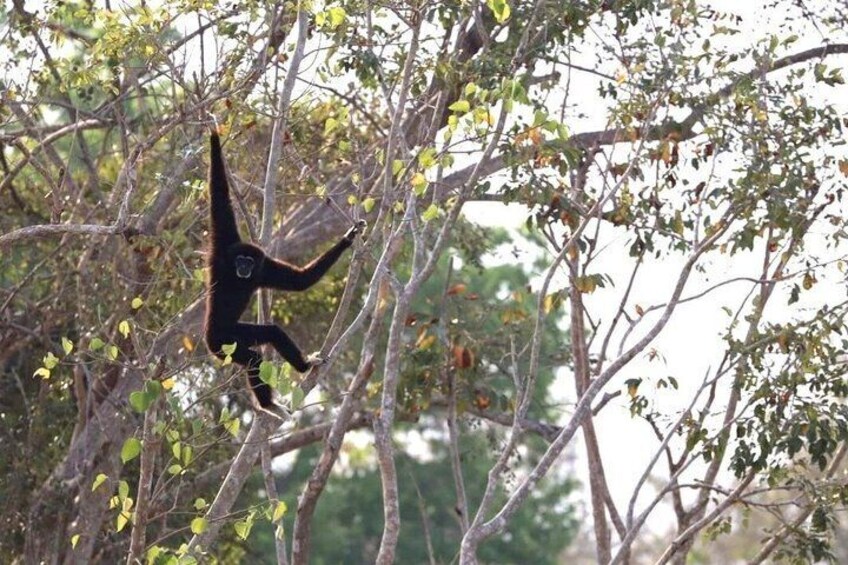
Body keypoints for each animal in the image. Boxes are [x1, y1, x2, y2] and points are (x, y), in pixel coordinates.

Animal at [203, 131, 364, 410]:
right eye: (240, 260)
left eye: (249, 262)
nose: (243, 267)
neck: (236, 275)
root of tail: (209, 337)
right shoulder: (223, 253)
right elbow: (219, 196)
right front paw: (214, 138)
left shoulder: (262, 268)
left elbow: (300, 281)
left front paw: (348, 239)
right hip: (221, 343)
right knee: (252, 359)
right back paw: (269, 406)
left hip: (235, 337)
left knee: (273, 333)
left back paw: (303, 368)